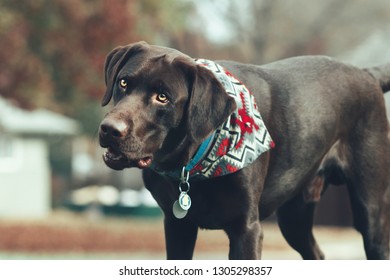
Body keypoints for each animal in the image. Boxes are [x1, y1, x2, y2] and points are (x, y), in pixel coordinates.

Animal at [98, 40, 390, 260]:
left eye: (163, 97)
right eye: (123, 83)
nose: (109, 129)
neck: (192, 163)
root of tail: (367, 73)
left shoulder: (246, 230)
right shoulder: (177, 225)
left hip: (371, 215)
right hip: (294, 218)